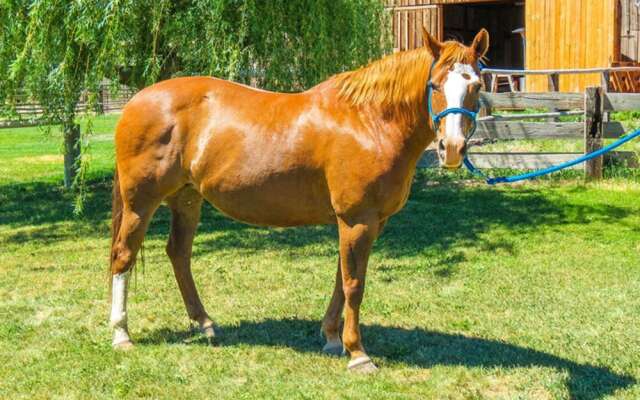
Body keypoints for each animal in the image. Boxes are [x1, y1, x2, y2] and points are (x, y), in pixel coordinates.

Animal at [111, 28, 490, 372]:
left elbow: (341, 279)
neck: (369, 121)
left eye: (476, 86)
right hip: (140, 202)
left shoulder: (366, 222)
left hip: (186, 200)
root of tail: (136, 101)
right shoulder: (357, 220)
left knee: (179, 254)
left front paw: (333, 337)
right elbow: (354, 284)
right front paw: (358, 354)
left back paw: (204, 323)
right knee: (123, 256)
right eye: (435, 85)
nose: (452, 148)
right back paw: (121, 334)